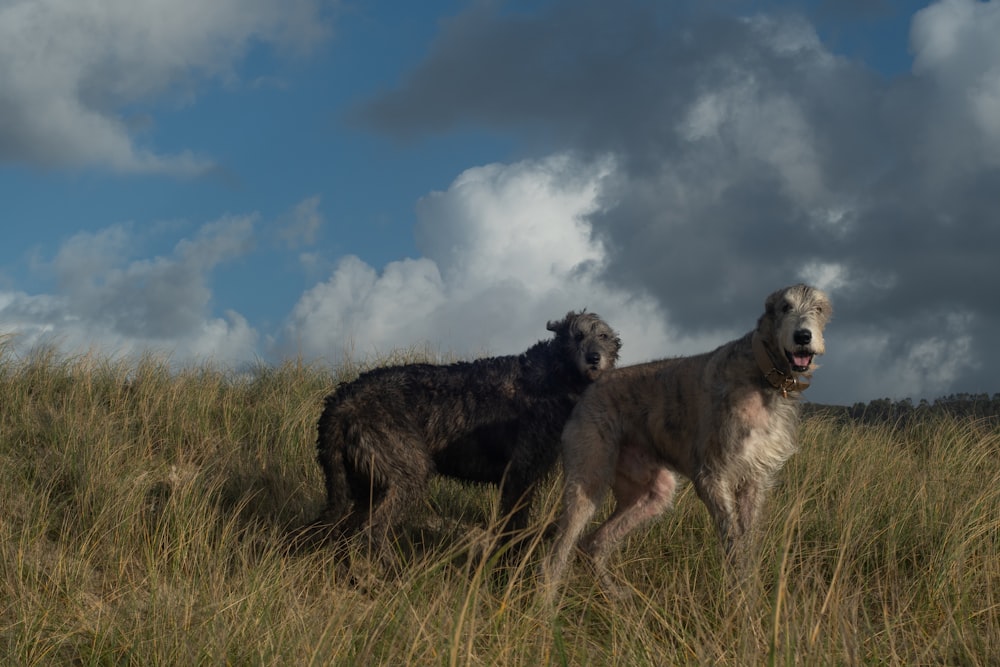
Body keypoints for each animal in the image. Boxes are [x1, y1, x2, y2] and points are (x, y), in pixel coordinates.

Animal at [316, 314, 620, 564]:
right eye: (577, 335)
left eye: (604, 336)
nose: (594, 358)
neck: (554, 374)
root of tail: (339, 402)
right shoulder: (520, 475)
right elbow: (513, 529)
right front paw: (507, 570)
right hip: (406, 467)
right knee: (373, 529)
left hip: (360, 482)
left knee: (346, 530)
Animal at [544, 284, 832, 596]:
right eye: (784, 307)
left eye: (819, 308)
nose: (803, 336)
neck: (763, 372)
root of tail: (593, 385)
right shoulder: (711, 475)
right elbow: (734, 543)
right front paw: (740, 602)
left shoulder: (755, 479)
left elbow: (748, 543)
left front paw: (751, 595)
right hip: (588, 476)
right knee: (558, 553)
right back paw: (545, 606)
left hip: (653, 491)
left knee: (594, 543)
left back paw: (618, 598)